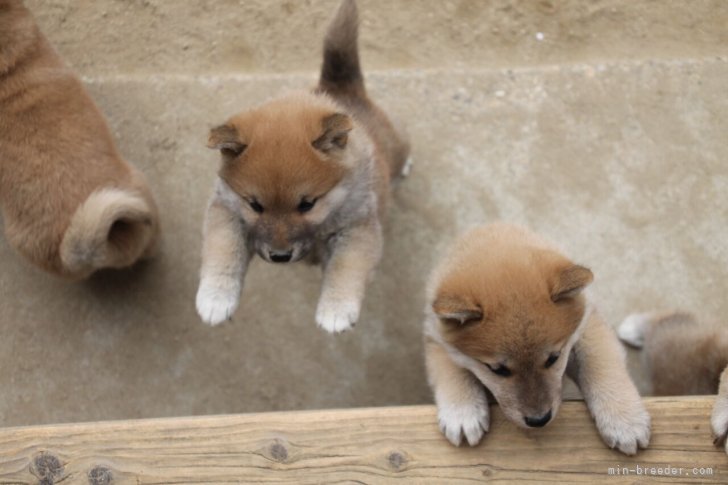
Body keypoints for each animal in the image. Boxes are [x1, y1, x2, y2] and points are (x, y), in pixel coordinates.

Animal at [195, 0, 410, 330]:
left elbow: (347, 267)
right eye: (255, 205)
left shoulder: (358, 228)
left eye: (307, 204)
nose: (280, 256)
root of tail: (342, 90)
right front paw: (216, 298)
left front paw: (336, 309)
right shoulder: (227, 210)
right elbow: (224, 250)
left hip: (396, 145)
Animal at [424, 223, 652, 454]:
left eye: (554, 358)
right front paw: (462, 412)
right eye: (497, 370)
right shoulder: (435, 336)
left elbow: (601, 365)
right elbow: (452, 368)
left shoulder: (588, 325)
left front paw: (624, 420)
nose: (539, 420)